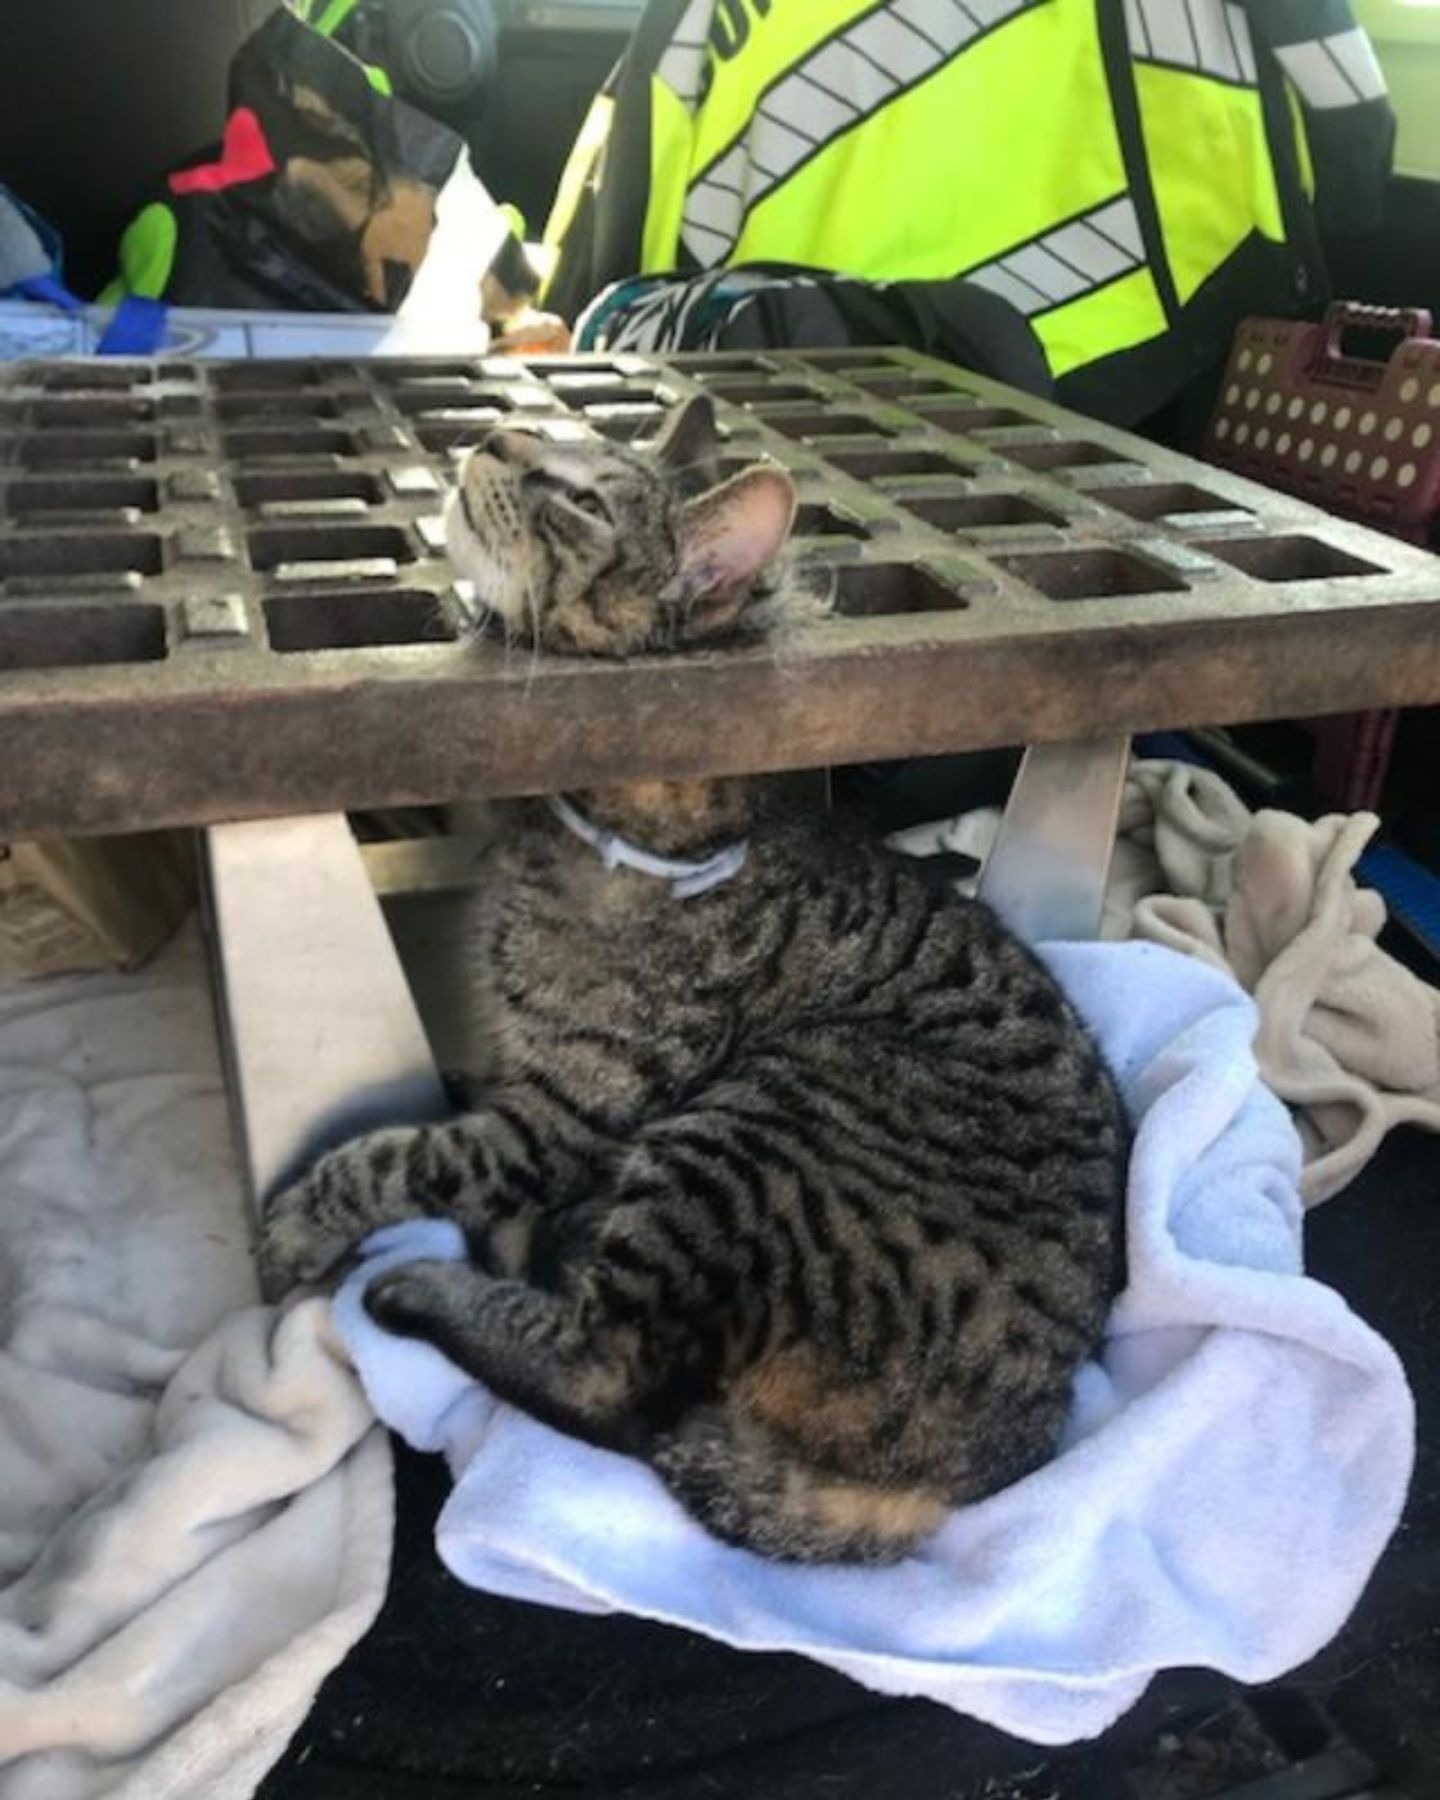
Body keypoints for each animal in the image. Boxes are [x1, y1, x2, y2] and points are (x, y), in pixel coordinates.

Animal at [264, 394, 1130, 1562]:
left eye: (583, 498)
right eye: (538, 443)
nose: (492, 438)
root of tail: (963, 1480)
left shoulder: (557, 1116)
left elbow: (398, 1156)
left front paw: (300, 1222)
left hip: (748, 1132)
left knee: (612, 1376)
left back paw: (421, 1289)